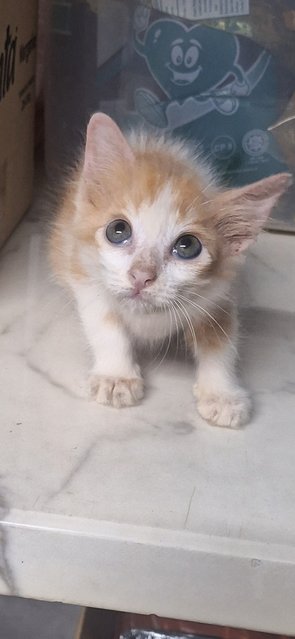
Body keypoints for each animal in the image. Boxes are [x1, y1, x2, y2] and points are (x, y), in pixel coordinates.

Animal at [49, 112, 292, 428]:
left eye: (187, 246)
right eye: (118, 230)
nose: (141, 276)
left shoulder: (219, 295)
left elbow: (221, 340)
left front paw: (222, 394)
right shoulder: (82, 269)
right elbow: (105, 323)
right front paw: (116, 375)